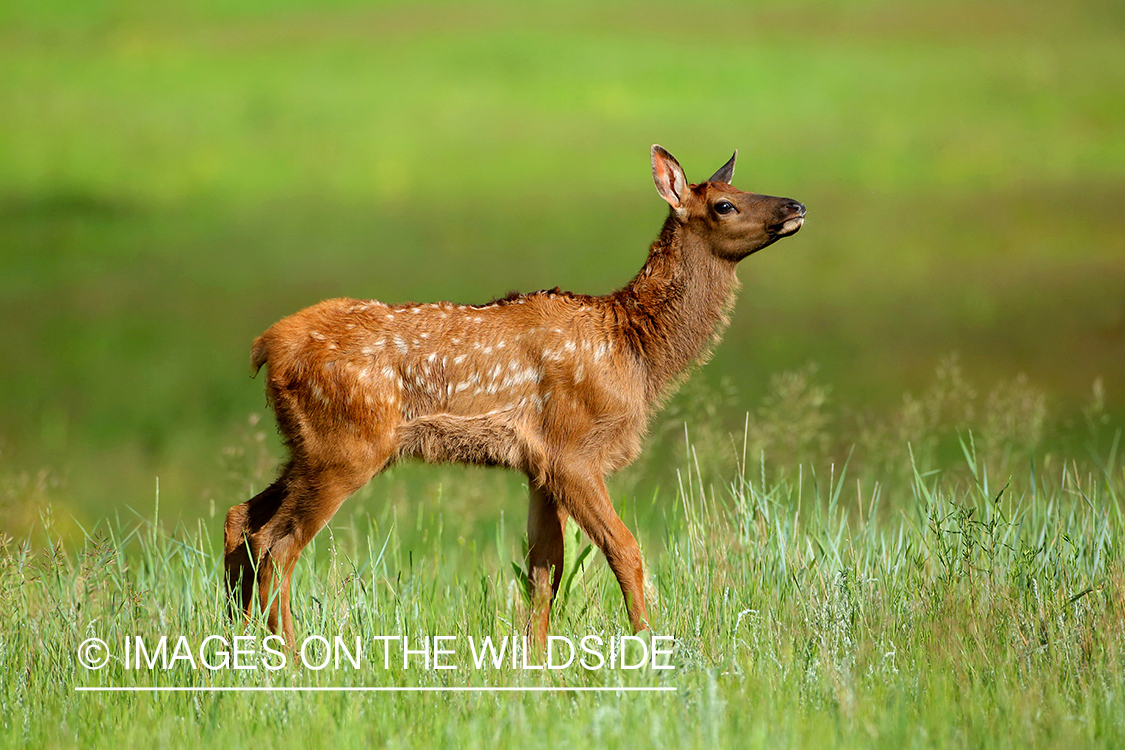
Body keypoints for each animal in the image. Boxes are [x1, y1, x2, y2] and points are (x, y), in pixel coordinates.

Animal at [224, 145, 805, 648]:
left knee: (242, 518)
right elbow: (625, 550)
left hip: (309, 446)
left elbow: (544, 569)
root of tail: (267, 345)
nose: (796, 205)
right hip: (345, 446)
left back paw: (235, 639)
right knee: (277, 544)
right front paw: (650, 643)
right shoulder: (573, 450)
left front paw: (537, 662)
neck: (634, 352)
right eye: (724, 204)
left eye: (743, 187)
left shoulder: (539, 465)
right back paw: (289, 655)